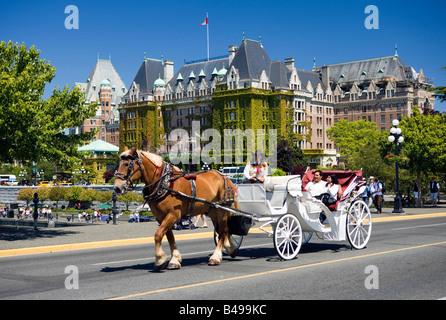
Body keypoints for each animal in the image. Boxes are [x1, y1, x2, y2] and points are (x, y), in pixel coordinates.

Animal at [113, 147, 242, 270]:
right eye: (118, 165)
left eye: (127, 164)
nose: (117, 188)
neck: (164, 184)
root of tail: (224, 176)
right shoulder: (161, 217)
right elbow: (169, 236)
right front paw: (174, 259)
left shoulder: (173, 214)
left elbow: (158, 235)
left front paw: (160, 260)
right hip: (213, 210)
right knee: (224, 231)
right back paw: (231, 248)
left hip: (223, 210)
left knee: (223, 231)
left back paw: (216, 257)